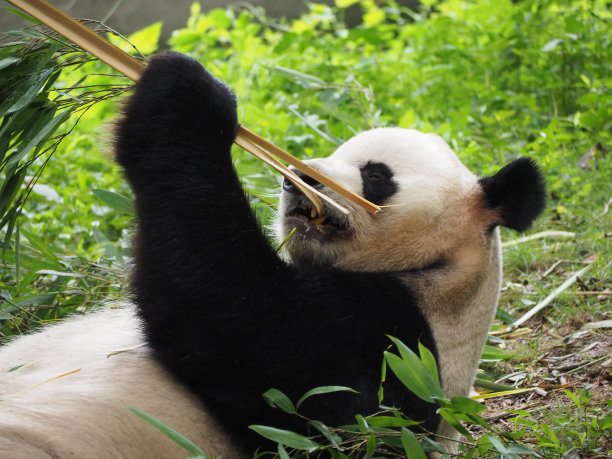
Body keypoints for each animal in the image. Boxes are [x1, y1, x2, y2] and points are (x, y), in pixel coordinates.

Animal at [0, 52, 544, 458]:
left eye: (375, 174)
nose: (296, 178)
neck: (432, 273)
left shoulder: (396, 351)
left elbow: (236, 315)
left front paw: (189, 94)